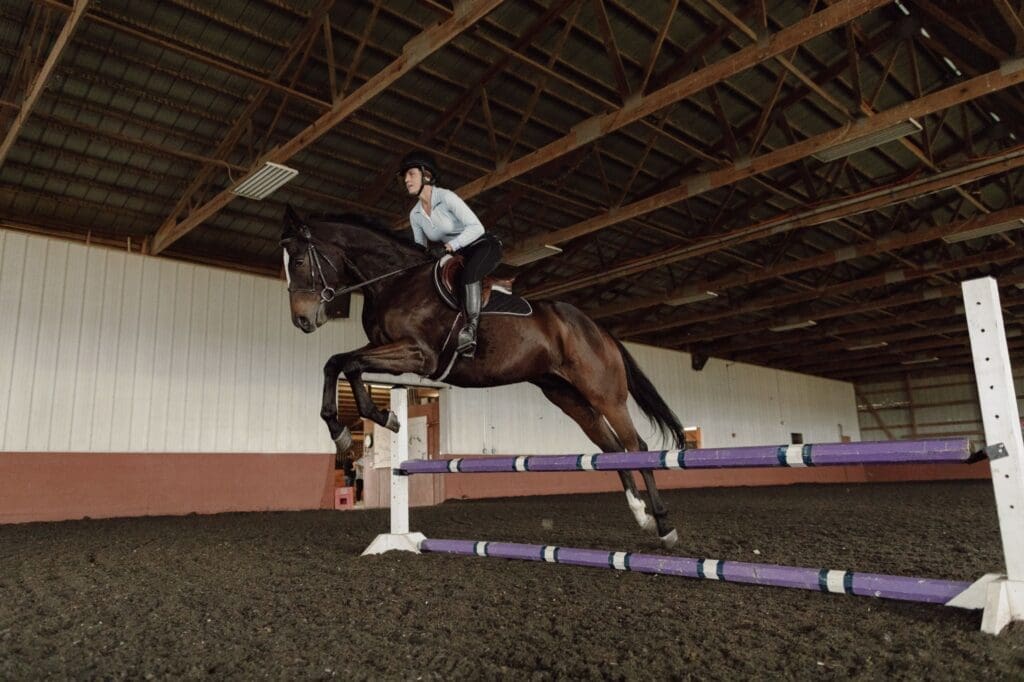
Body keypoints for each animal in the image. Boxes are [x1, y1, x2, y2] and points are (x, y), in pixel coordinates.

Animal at [278, 204, 688, 544]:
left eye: (297, 261)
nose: (302, 321)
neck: (393, 282)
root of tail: (600, 330)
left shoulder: (420, 355)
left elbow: (347, 364)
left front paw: (377, 419)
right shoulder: (390, 352)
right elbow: (338, 363)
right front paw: (352, 429)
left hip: (603, 392)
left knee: (637, 447)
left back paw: (664, 527)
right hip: (566, 395)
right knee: (613, 448)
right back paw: (641, 516)